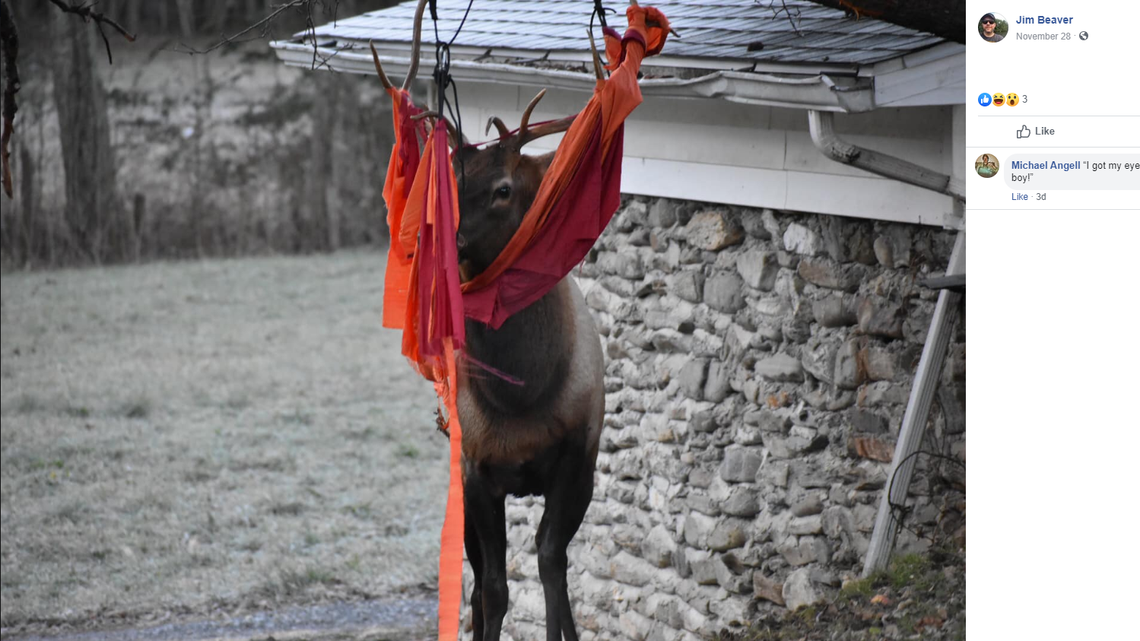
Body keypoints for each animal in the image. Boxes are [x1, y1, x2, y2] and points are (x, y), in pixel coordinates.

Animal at [371, 2, 605, 639]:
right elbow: (494, 590)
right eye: (447, 182)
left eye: (502, 189)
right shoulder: (477, 470)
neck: (525, 393)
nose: (430, 240)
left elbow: (552, 565)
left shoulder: (580, 455)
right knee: (477, 586)